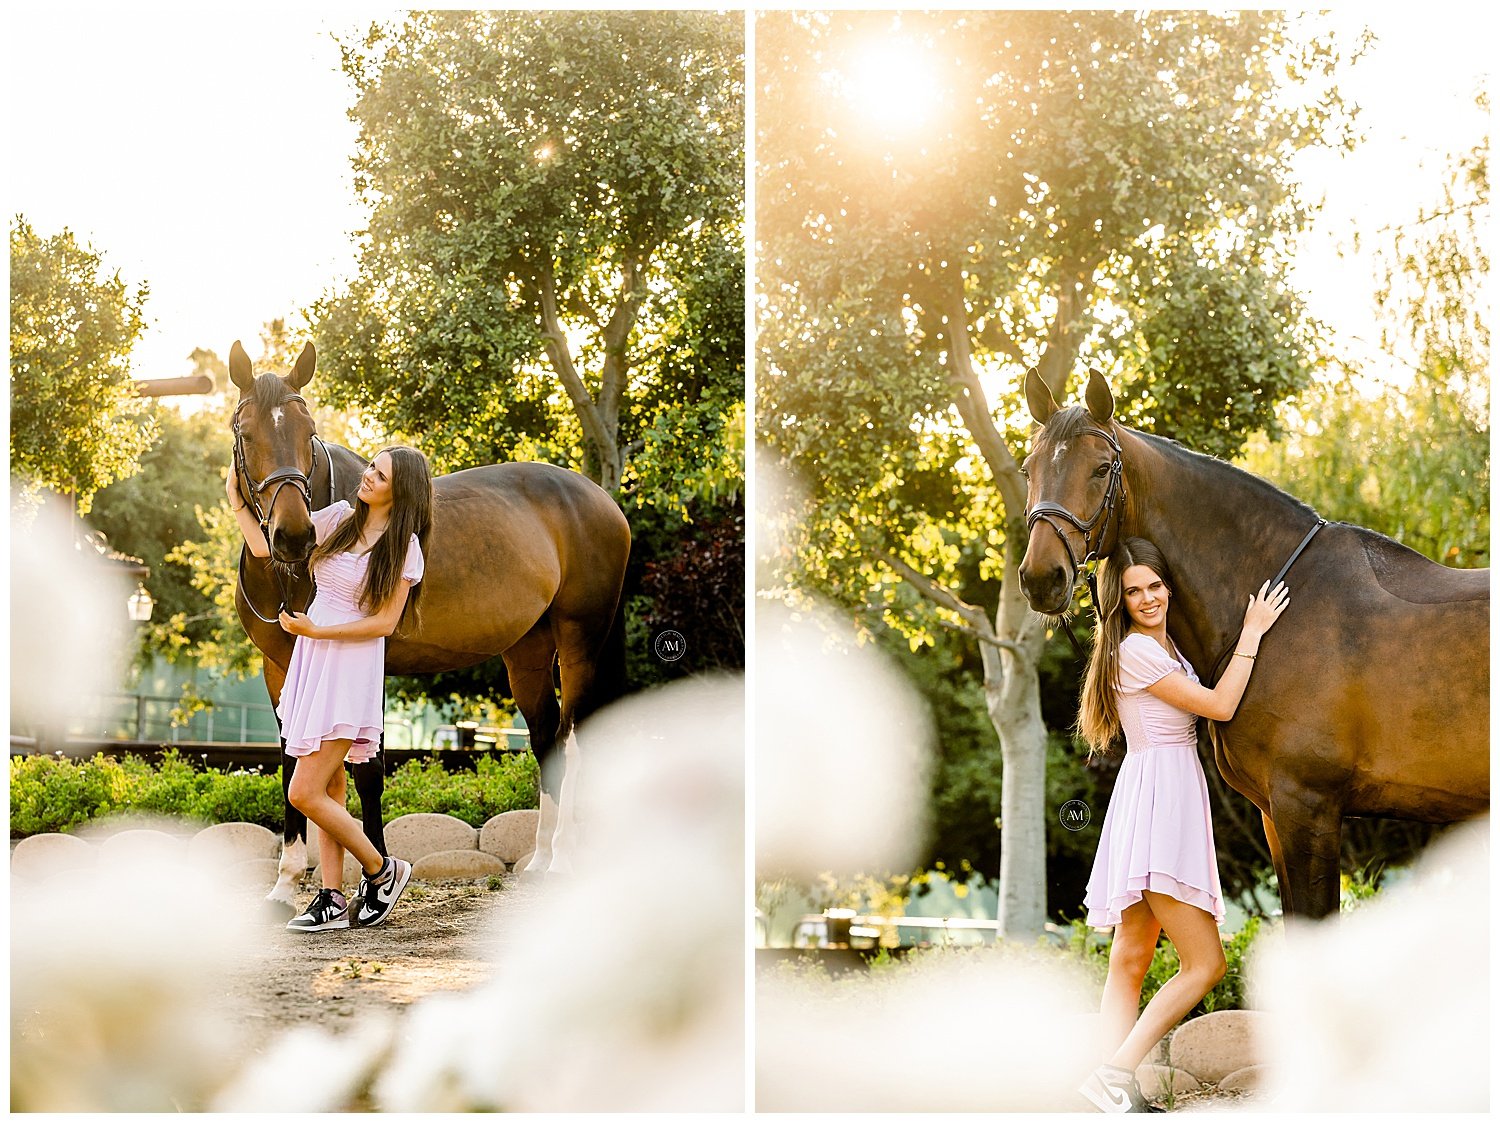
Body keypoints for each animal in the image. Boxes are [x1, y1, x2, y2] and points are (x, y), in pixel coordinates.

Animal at [225, 337, 630, 905]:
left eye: (308, 431)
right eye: (246, 432)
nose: (293, 536)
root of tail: (601, 499)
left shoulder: (369, 662)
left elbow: (368, 771)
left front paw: (375, 884)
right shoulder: (279, 668)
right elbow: (293, 765)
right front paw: (286, 884)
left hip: (579, 643)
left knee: (574, 740)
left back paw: (564, 862)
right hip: (528, 651)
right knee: (547, 740)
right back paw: (541, 861)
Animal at [1020, 370, 1488, 917]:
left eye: (1099, 469)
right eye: (1029, 469)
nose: (1041, 578)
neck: (1288, 602)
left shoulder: (1306, 807)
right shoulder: (1274, 814)